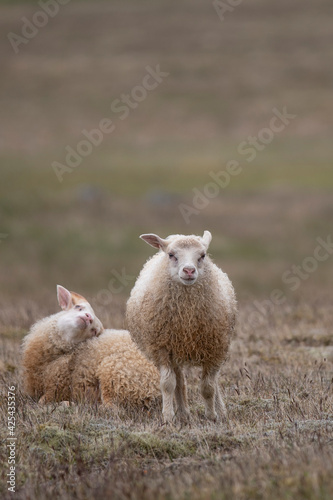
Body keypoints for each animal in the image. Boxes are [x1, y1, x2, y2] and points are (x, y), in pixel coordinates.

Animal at [21, 284, 160, 408]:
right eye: (78, 307)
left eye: (93, 330)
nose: (88, 317)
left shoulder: (56, 387)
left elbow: (42, 401)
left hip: (115, 373)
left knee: (111, 408)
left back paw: (69, 404)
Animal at [124, 230, 236, 422]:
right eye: (171, 255)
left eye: (202, 255)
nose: (189, 270)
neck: (186, 317)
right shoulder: (162, 347)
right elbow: (168, 384)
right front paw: (168, 417)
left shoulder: (215, 348)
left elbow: (208, 387)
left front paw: (212, 415)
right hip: (173, 350)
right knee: (180, 381)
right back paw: (183, 413)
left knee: (212, 382)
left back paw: (219, 411)